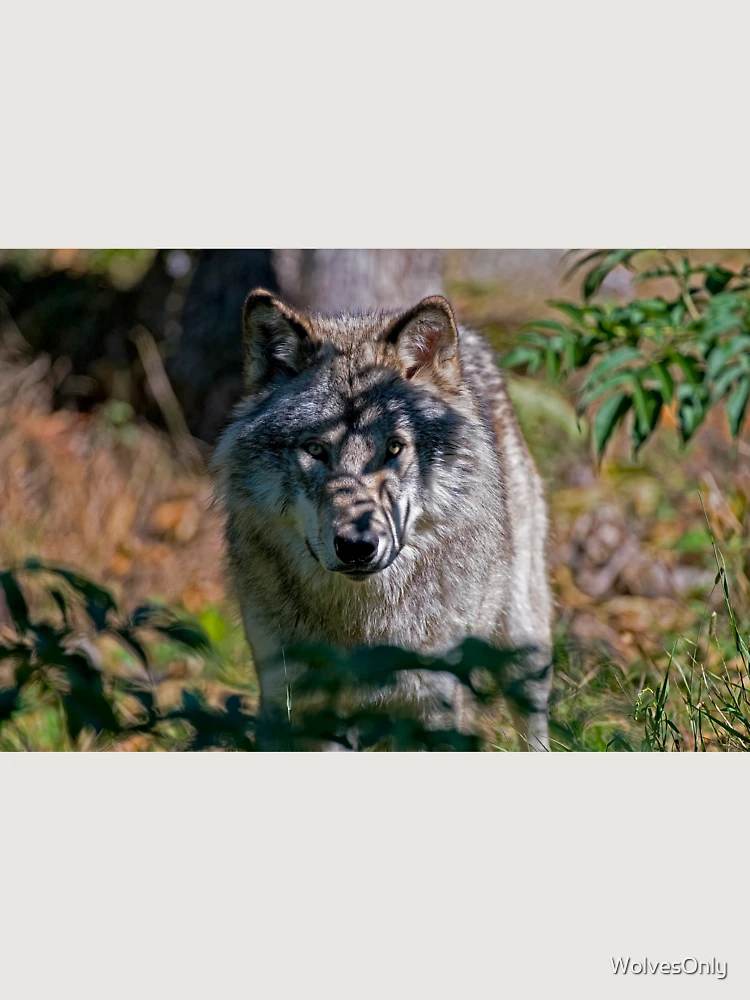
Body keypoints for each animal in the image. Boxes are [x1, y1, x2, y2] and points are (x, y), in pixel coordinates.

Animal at [213, 289, 553, 750]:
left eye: (393, 448)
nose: (357, 547)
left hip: (522, 642)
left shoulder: (433, 703)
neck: (362, 624)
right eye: (315, 449)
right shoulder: (301, 704)